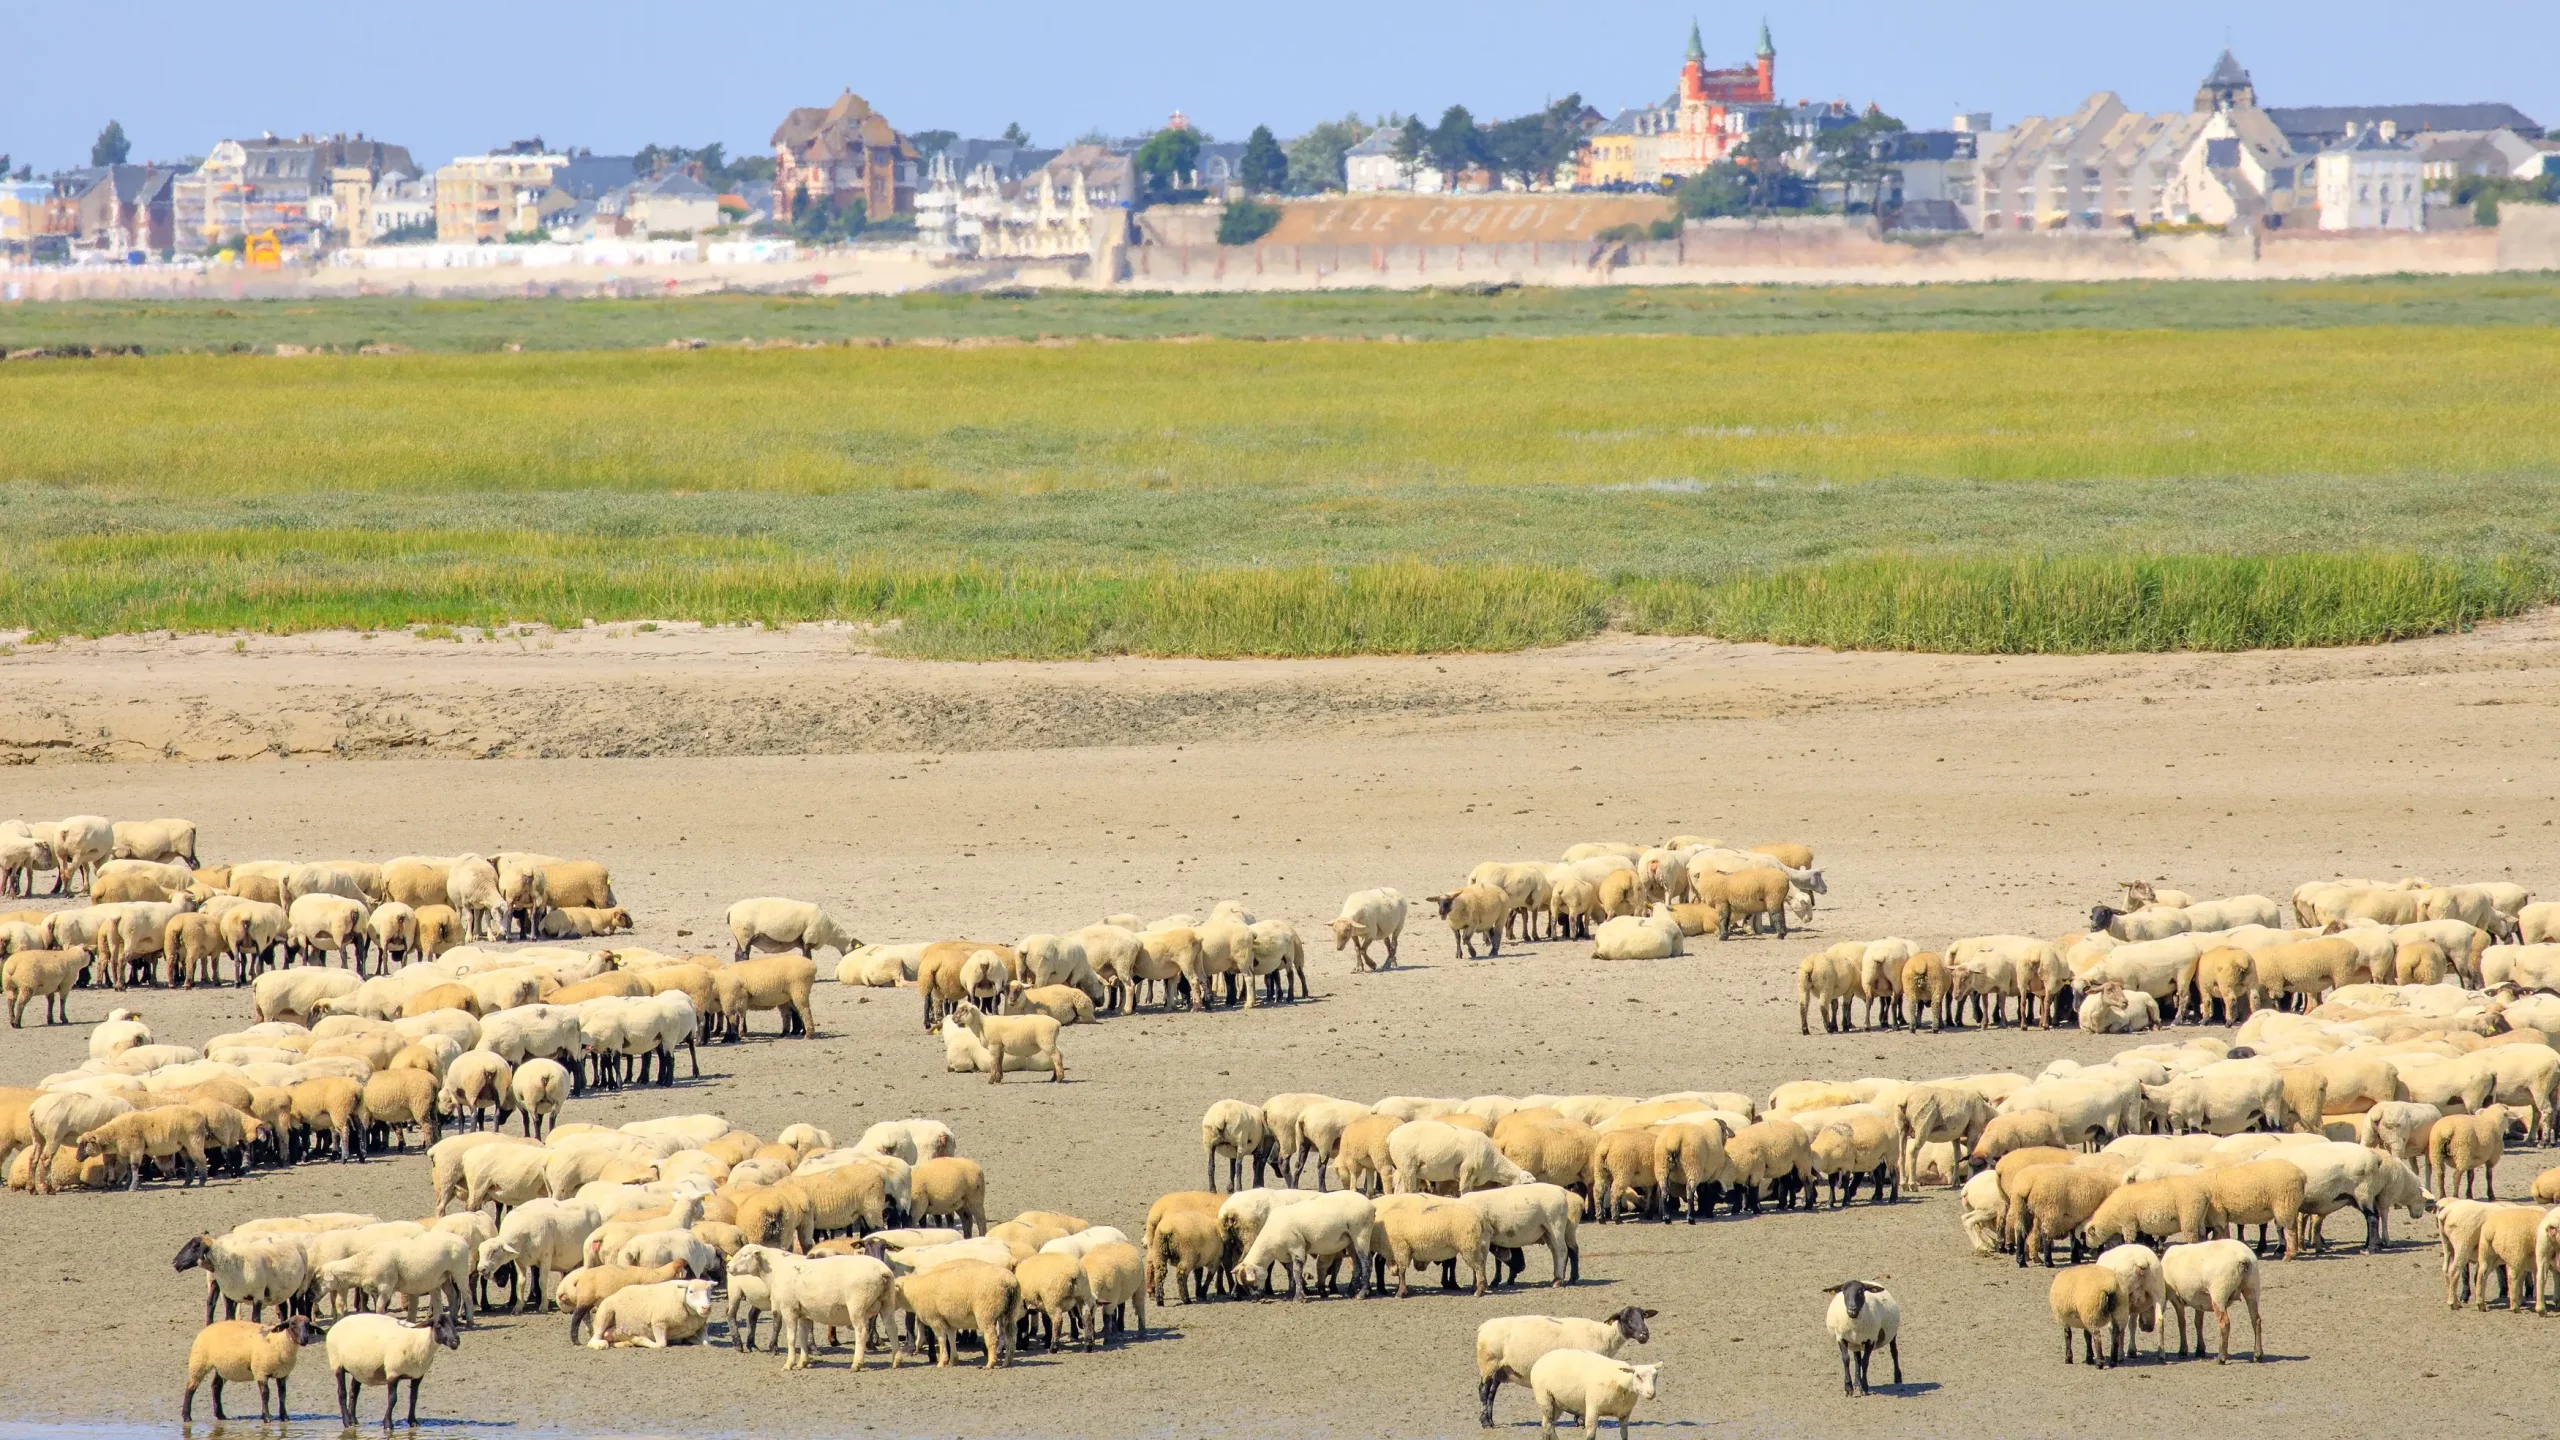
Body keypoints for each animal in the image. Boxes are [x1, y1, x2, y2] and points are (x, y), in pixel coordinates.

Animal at [183, 1316, 314, 1422]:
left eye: (308, 1324)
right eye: (292, 1324)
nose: (305, 1339)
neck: (278, 1341)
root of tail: (208, 1327)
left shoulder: (282, 1374)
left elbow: (282, 1395)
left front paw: (284, 1417)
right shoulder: (261, 1371)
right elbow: (265, 1394)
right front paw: (266, 1417)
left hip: (221, 1367)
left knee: (216, 1386)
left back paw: (220, 1415)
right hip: (199, 1361)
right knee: (191, 1387)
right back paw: (186, 1416)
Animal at [326, 1311, 461, 1427]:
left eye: (454, 1323)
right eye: (438, 1324)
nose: (456, 1341)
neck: (419, 1339)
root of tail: (336, 1324)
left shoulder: (417, 1375)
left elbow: (413, 1398)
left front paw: (413, 1422)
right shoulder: (393, 1372)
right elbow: (392, 1399)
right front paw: (387, 1424)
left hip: (359, 1369)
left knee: (354, 1392)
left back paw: (354, 1421)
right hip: (337, 1363)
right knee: (342, 1393)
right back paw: (347, 1422)